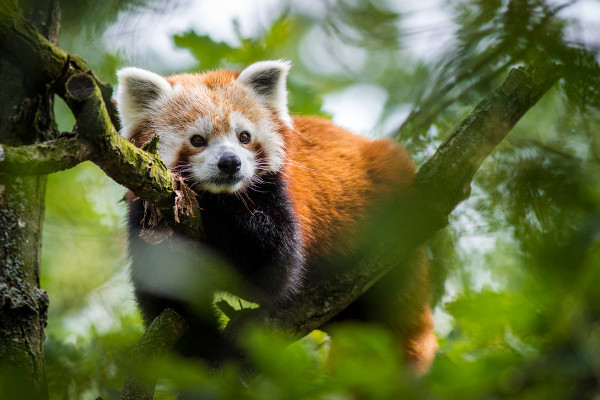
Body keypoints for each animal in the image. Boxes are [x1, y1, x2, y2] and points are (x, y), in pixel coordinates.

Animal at [116, 59, 436, 372]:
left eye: (244, 137)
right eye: (197, 140)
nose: (230, 163)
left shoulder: (278, 199)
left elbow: (273, 271)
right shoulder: (150, 225)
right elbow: (169, 302)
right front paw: (210, 355)